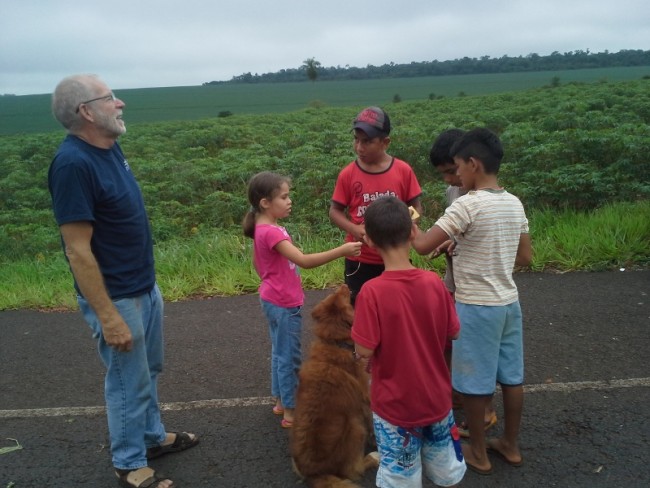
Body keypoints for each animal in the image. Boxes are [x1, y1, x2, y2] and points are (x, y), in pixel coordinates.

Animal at [288, 286, 374, 488]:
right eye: (342, 296)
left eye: (335, 295)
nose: (344, 285)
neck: (335, 343)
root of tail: (315, 474)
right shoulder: (365, 397)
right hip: (355, 428)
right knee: (353, 469)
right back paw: (376, 456)